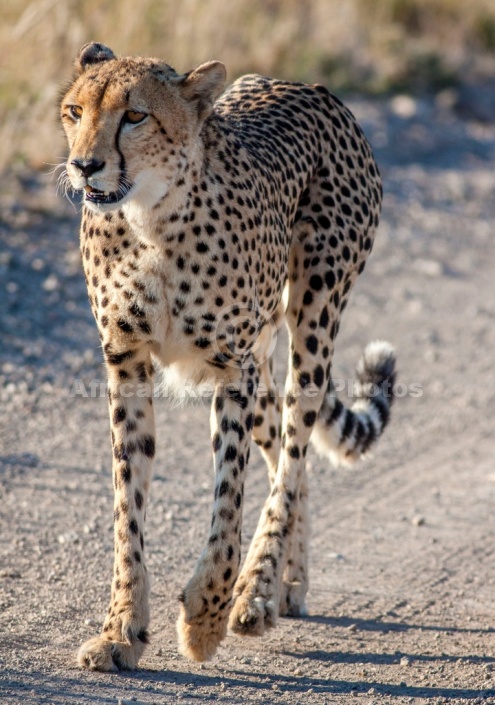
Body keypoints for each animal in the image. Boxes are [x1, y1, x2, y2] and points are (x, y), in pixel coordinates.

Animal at [60, 42, 398, 672]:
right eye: (74, 111)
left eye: (135, 116)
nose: (85, 166)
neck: (151, 221)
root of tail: (300, 83)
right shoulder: (125, 362)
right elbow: (128, 506)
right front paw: (121, 631)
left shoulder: (230, 368)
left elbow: (228, 500)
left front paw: (205, 619)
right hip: (266, 357)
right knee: (287, 454)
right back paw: (288, 582)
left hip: (313, 319)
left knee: (292, 454)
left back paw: (258, 592)